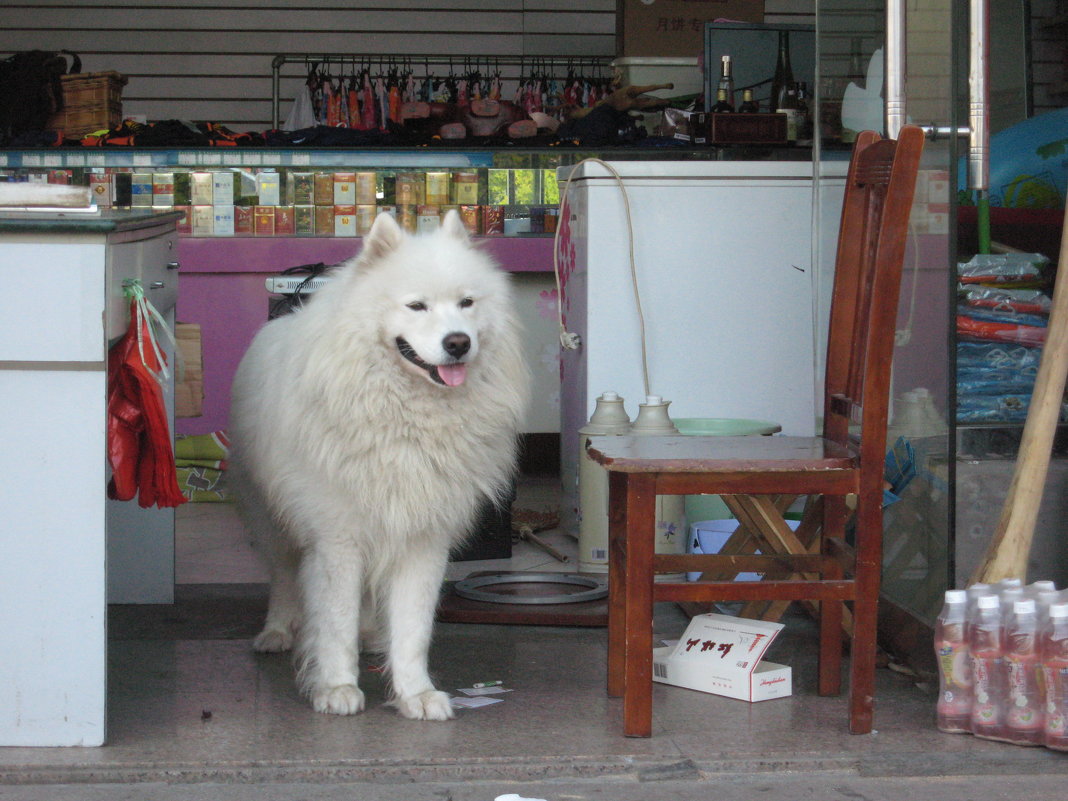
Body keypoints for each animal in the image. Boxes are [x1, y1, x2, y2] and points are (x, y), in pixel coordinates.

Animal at [234, 208, 534, 721]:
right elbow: (335, 620)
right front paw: (335, 686)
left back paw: (373, 635)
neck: (408, 420)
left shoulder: (422, 537)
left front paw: (416, 693)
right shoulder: (338, 538)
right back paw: (276, 633)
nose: (459, 342)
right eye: (417, 307)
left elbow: (413, 628)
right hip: (272, 523)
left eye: (467, 303)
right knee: (284, 580)